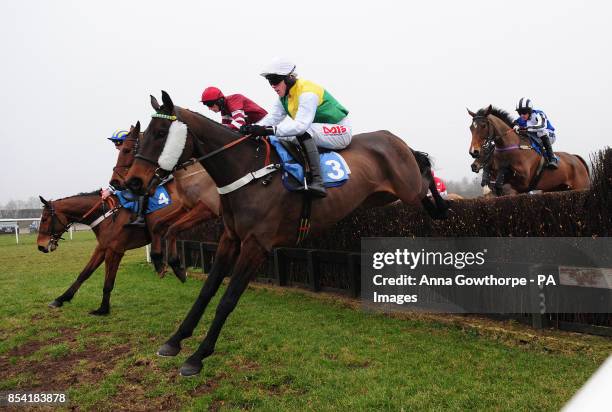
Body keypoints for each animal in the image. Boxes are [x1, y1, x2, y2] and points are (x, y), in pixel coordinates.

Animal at [125, 91, 450, 376]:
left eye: (159, 133)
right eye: (144, 135)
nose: (133, 182)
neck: (248, 172)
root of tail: (393, 138)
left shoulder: (256, 246)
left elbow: (228, 299)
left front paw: (197, 356)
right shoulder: (230, 238)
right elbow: (206, 291)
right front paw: (175, 340)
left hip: (407, 188)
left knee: (424, 172)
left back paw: (443, 205)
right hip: (380, 197)